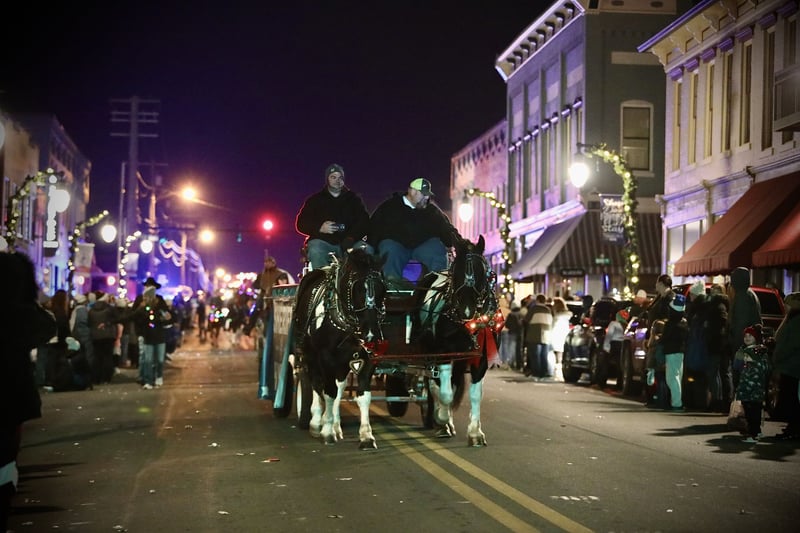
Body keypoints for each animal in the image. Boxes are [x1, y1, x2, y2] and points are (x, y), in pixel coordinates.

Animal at [292, 248, 388, 449]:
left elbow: (363, 395)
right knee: (316, 383)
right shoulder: (326, 357)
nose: (371, 334)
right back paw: (316, 421)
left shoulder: (368, 358)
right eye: (357, 288)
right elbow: (329, 392)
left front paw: (366, 435)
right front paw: (327, 430)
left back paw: (336, 424)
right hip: (310, 354)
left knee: (340, 386)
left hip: (342, 363)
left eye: (383, 289)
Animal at [416, 235, 502, 447]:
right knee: (435, 385)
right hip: (429, 353)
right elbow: (445, 393)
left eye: (482, 272)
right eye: (457, 271)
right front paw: (442, 419)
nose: (467, 311)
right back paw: (442, 421)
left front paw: (475, 433)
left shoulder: (481, 358)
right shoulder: (444, 354)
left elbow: (475, 394)